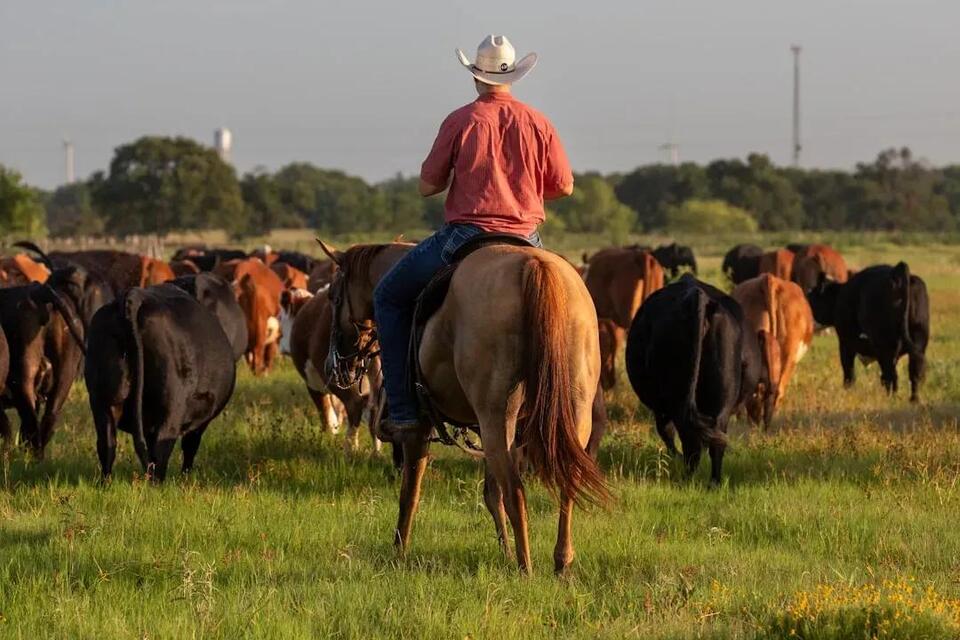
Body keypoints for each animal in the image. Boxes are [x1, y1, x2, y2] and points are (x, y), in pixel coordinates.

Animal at [86, 285, 236, 481]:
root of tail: (135, 295)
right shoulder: (201, 420)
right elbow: (190, 445)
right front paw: (185, 478)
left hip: (101, 400)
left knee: (107, 444)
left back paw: (106, 483)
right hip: (171, 404)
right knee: (161, 446)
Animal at [316, 239, 608, 575]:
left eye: (333, 297)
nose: (335, 365)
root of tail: (533, 267)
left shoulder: (419, 431)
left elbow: (410, 493)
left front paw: (398, 552)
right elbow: (491, 494)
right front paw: (504, 552)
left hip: (497, 418)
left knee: (516, 492)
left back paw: (526, 568)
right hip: (569, 415)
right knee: (563, 481)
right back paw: (560, 563)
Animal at [625, 275, 744, 485]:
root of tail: (698, 296)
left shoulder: (661, 407)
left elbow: (665, 431)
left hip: (676, 398)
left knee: (689, 439)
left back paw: (686, 478)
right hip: (722, 398)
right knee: (716, 439)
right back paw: (713, 483)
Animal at [806, 263, 929, 402]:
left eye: (811, 296)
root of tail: (897, 271)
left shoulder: (846, 343)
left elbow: (849, 372)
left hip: (885, 347)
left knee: (891, 376)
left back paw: (891, 399)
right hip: (918, 342)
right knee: (914, 373)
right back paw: (914, 400)